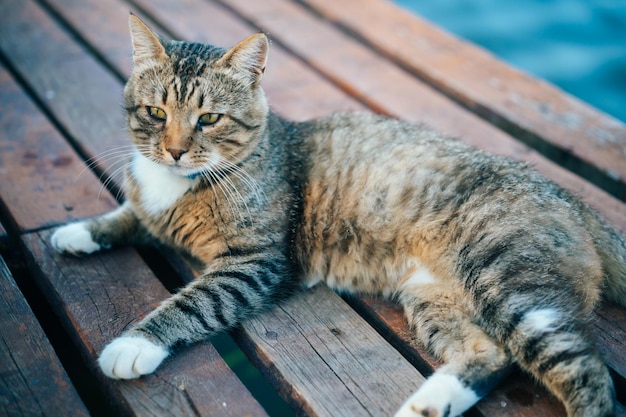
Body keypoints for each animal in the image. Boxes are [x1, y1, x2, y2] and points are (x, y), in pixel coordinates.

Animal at [50, 13, 624, 416]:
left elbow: (191, 304)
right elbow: (128, 215)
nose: (172, 151)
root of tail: (575, 202)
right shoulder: (152, 211)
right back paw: (431, 402)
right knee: (490, 354)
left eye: (209, 118)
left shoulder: (254, 265)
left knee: (586, 372)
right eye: (155, 112)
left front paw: (135, 343)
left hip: (513, 286)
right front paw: (78, 231)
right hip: (435, 299)